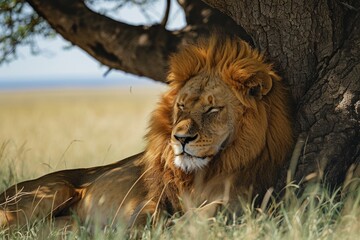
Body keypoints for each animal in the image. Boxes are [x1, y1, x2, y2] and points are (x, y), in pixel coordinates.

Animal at [0, 35, 292, 231]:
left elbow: (213, 210)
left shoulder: (242, 196)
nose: (181, 139)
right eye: (182, 106)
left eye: (212, 109)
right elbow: (149, 214)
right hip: (51, 191)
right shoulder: (148, 199)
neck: (203, 172)